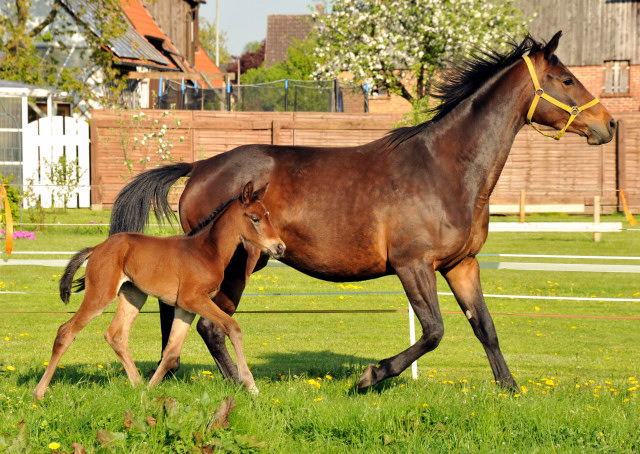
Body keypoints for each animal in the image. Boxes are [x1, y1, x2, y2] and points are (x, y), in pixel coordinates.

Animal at [32, 183, 282, 400]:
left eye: (268, 215)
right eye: (255, 218)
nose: (279, 247)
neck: (208, 251)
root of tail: (97, 248)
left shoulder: (185, 308)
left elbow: (171, 352)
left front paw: (150, 391)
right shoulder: (195, 300)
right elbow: (233, 327)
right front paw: (251, 385)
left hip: (133, 295)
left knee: (116, 335)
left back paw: (138, 385)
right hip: (101, 294)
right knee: (66, 331)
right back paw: (39, 392)